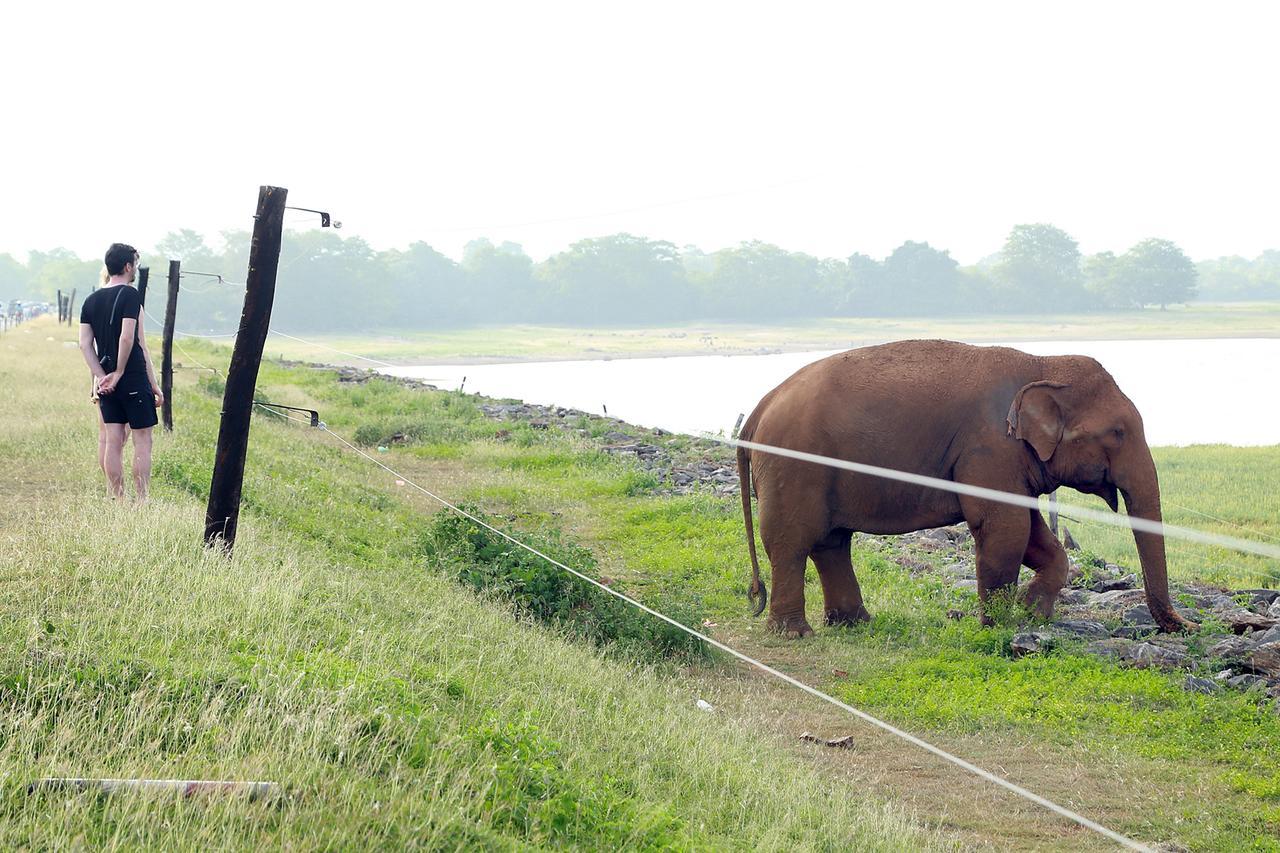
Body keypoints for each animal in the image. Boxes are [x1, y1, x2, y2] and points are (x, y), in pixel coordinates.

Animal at [737, 338, 1192, 637]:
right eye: (1118, 433)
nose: (1188, 625)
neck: (1042, 363)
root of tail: (760, 406)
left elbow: (1034, 534)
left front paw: (1033, 614)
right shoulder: (989, 446)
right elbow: (1004, 528)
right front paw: (998, 626)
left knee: (831, 542)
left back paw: (855, 624)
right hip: (793, 466)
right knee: (792, 541)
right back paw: (794, 633)